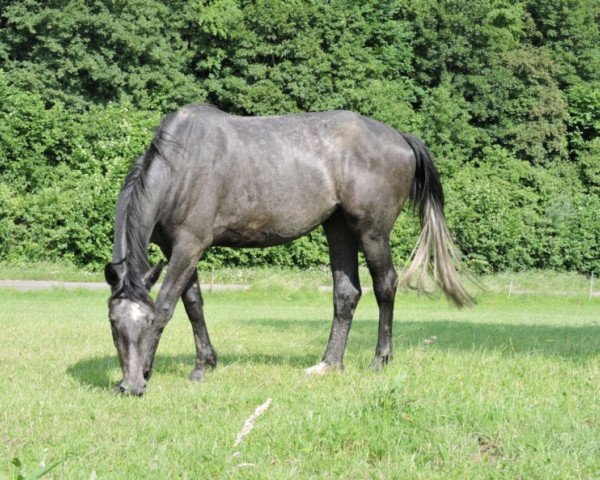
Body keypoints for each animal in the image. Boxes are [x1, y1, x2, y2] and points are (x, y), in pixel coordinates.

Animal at [104, 104, 474, 394]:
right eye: (112, 323)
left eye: (145, 321)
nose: (130, 386)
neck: (181, 164)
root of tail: (400, 137)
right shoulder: (177, 248)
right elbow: (193, 303)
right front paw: (203, 364)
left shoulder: (190, 245)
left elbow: (167, 305)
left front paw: (151, 368)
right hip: (338, 229)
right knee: (347, 294)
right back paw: (329, 363)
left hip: (372, 232)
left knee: (385, 286)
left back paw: (379, 359)